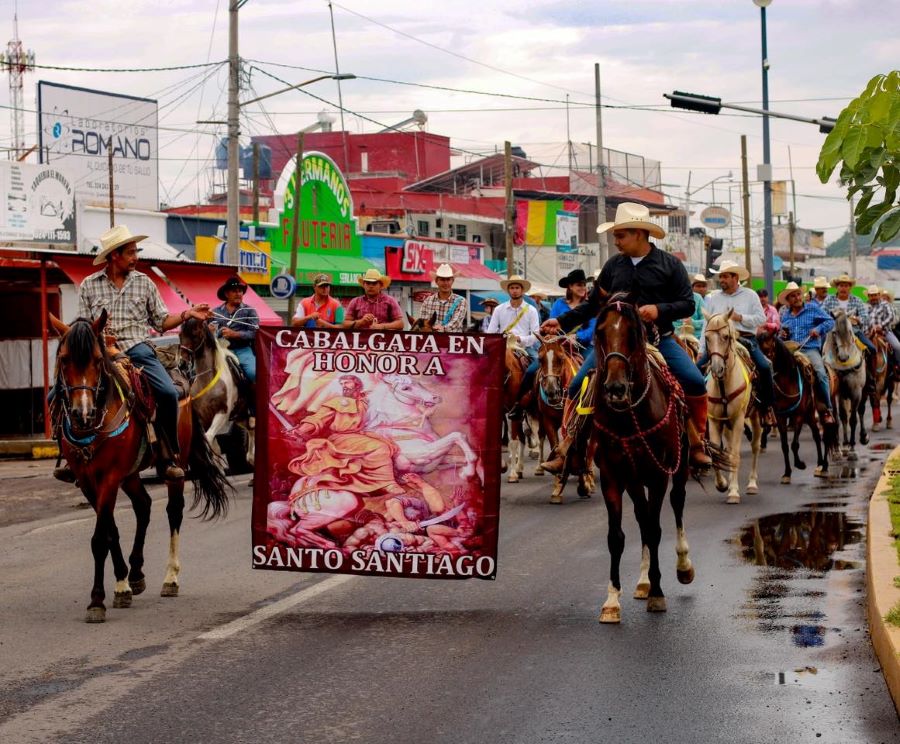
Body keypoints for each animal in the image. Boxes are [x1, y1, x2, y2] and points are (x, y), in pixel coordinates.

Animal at [48, 310, 232, 620]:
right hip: (131, 473)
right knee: (143, 506)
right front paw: (122, 584)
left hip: (175, 465)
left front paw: (97, 600)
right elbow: (110, 532)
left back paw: (170, 578)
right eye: (63, 359)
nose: (82, 413)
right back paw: (135, 573)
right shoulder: (87, 480)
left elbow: (100, 538)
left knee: (173, 511)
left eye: (97, 360)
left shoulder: (110, 476)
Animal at [588, 294, 692, 624]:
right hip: (634, 480)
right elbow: (617, 536)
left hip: (680, 465)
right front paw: (612, 600)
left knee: (676, 503)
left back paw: (682, 567)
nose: (615, 388)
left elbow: (656, 530)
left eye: (633, 333)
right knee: (642, 517)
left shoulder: (658, 475)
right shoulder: (612, 475)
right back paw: (644, 582)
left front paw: (658, 594)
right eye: (600, 333)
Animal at [756, 330, 832, 482]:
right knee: (816, 435)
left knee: (824, 436)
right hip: (809, 414)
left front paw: (800, 464)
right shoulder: (781, 417)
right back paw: (820, 463)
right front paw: (787, 473)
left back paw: (824, 467)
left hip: (817, 412)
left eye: (767, 349)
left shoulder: (798, 416)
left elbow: (794, 444)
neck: (788, 382)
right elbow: (785, 445)